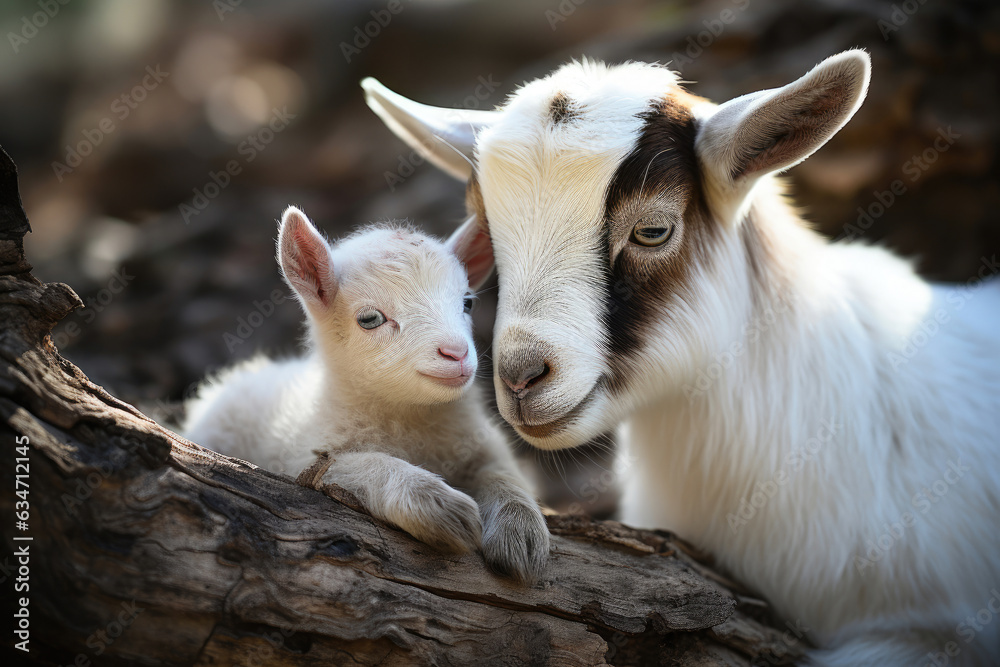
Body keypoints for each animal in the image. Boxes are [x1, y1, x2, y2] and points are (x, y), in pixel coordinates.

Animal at [183, 206, 549, 583]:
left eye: (467, 303)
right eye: (370, 319)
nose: (457, 353)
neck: (410, 417)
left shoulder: (483, 443)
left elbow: (504, 474)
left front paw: (521, 532)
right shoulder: (303, 462)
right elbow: (364, 465)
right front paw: (441, 507)